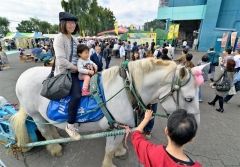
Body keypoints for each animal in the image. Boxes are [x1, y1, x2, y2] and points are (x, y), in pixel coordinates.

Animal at [11, 58, 202, 166]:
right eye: (189, 99)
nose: (195, 128)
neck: (128, 90)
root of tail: (22, 77)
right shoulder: (115, 127)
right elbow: (109, 150)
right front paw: (110, 162)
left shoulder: (120, 127)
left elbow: (116, 145)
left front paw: (120, 151)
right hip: (35, 114)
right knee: (44, 130)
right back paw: (55, 147)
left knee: (49, 126)